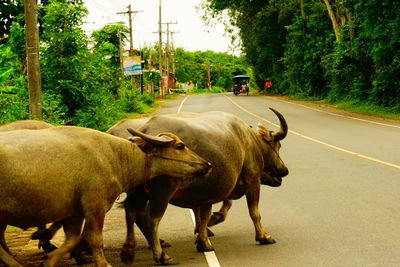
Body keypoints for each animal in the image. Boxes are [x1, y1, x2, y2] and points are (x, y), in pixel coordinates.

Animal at [0, 126, 211, 267]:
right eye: (180, 146)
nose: (207, 164)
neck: (116, 157)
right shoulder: (95, 206)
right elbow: (94, 238)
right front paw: (103, 263)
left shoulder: (75, 212)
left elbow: (73, 239)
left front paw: (50, 260)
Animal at [108, 109, 290, 266]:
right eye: (277, 145)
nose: (284, 170)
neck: (249, 141)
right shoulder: (252, 180)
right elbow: (254, 212)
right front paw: (264, 236)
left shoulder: (208, 191)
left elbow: (205, 215)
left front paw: (204, 240)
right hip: (163, 191)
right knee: (151, 219)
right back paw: (162, 256)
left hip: (138, 191)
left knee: (133, 213)